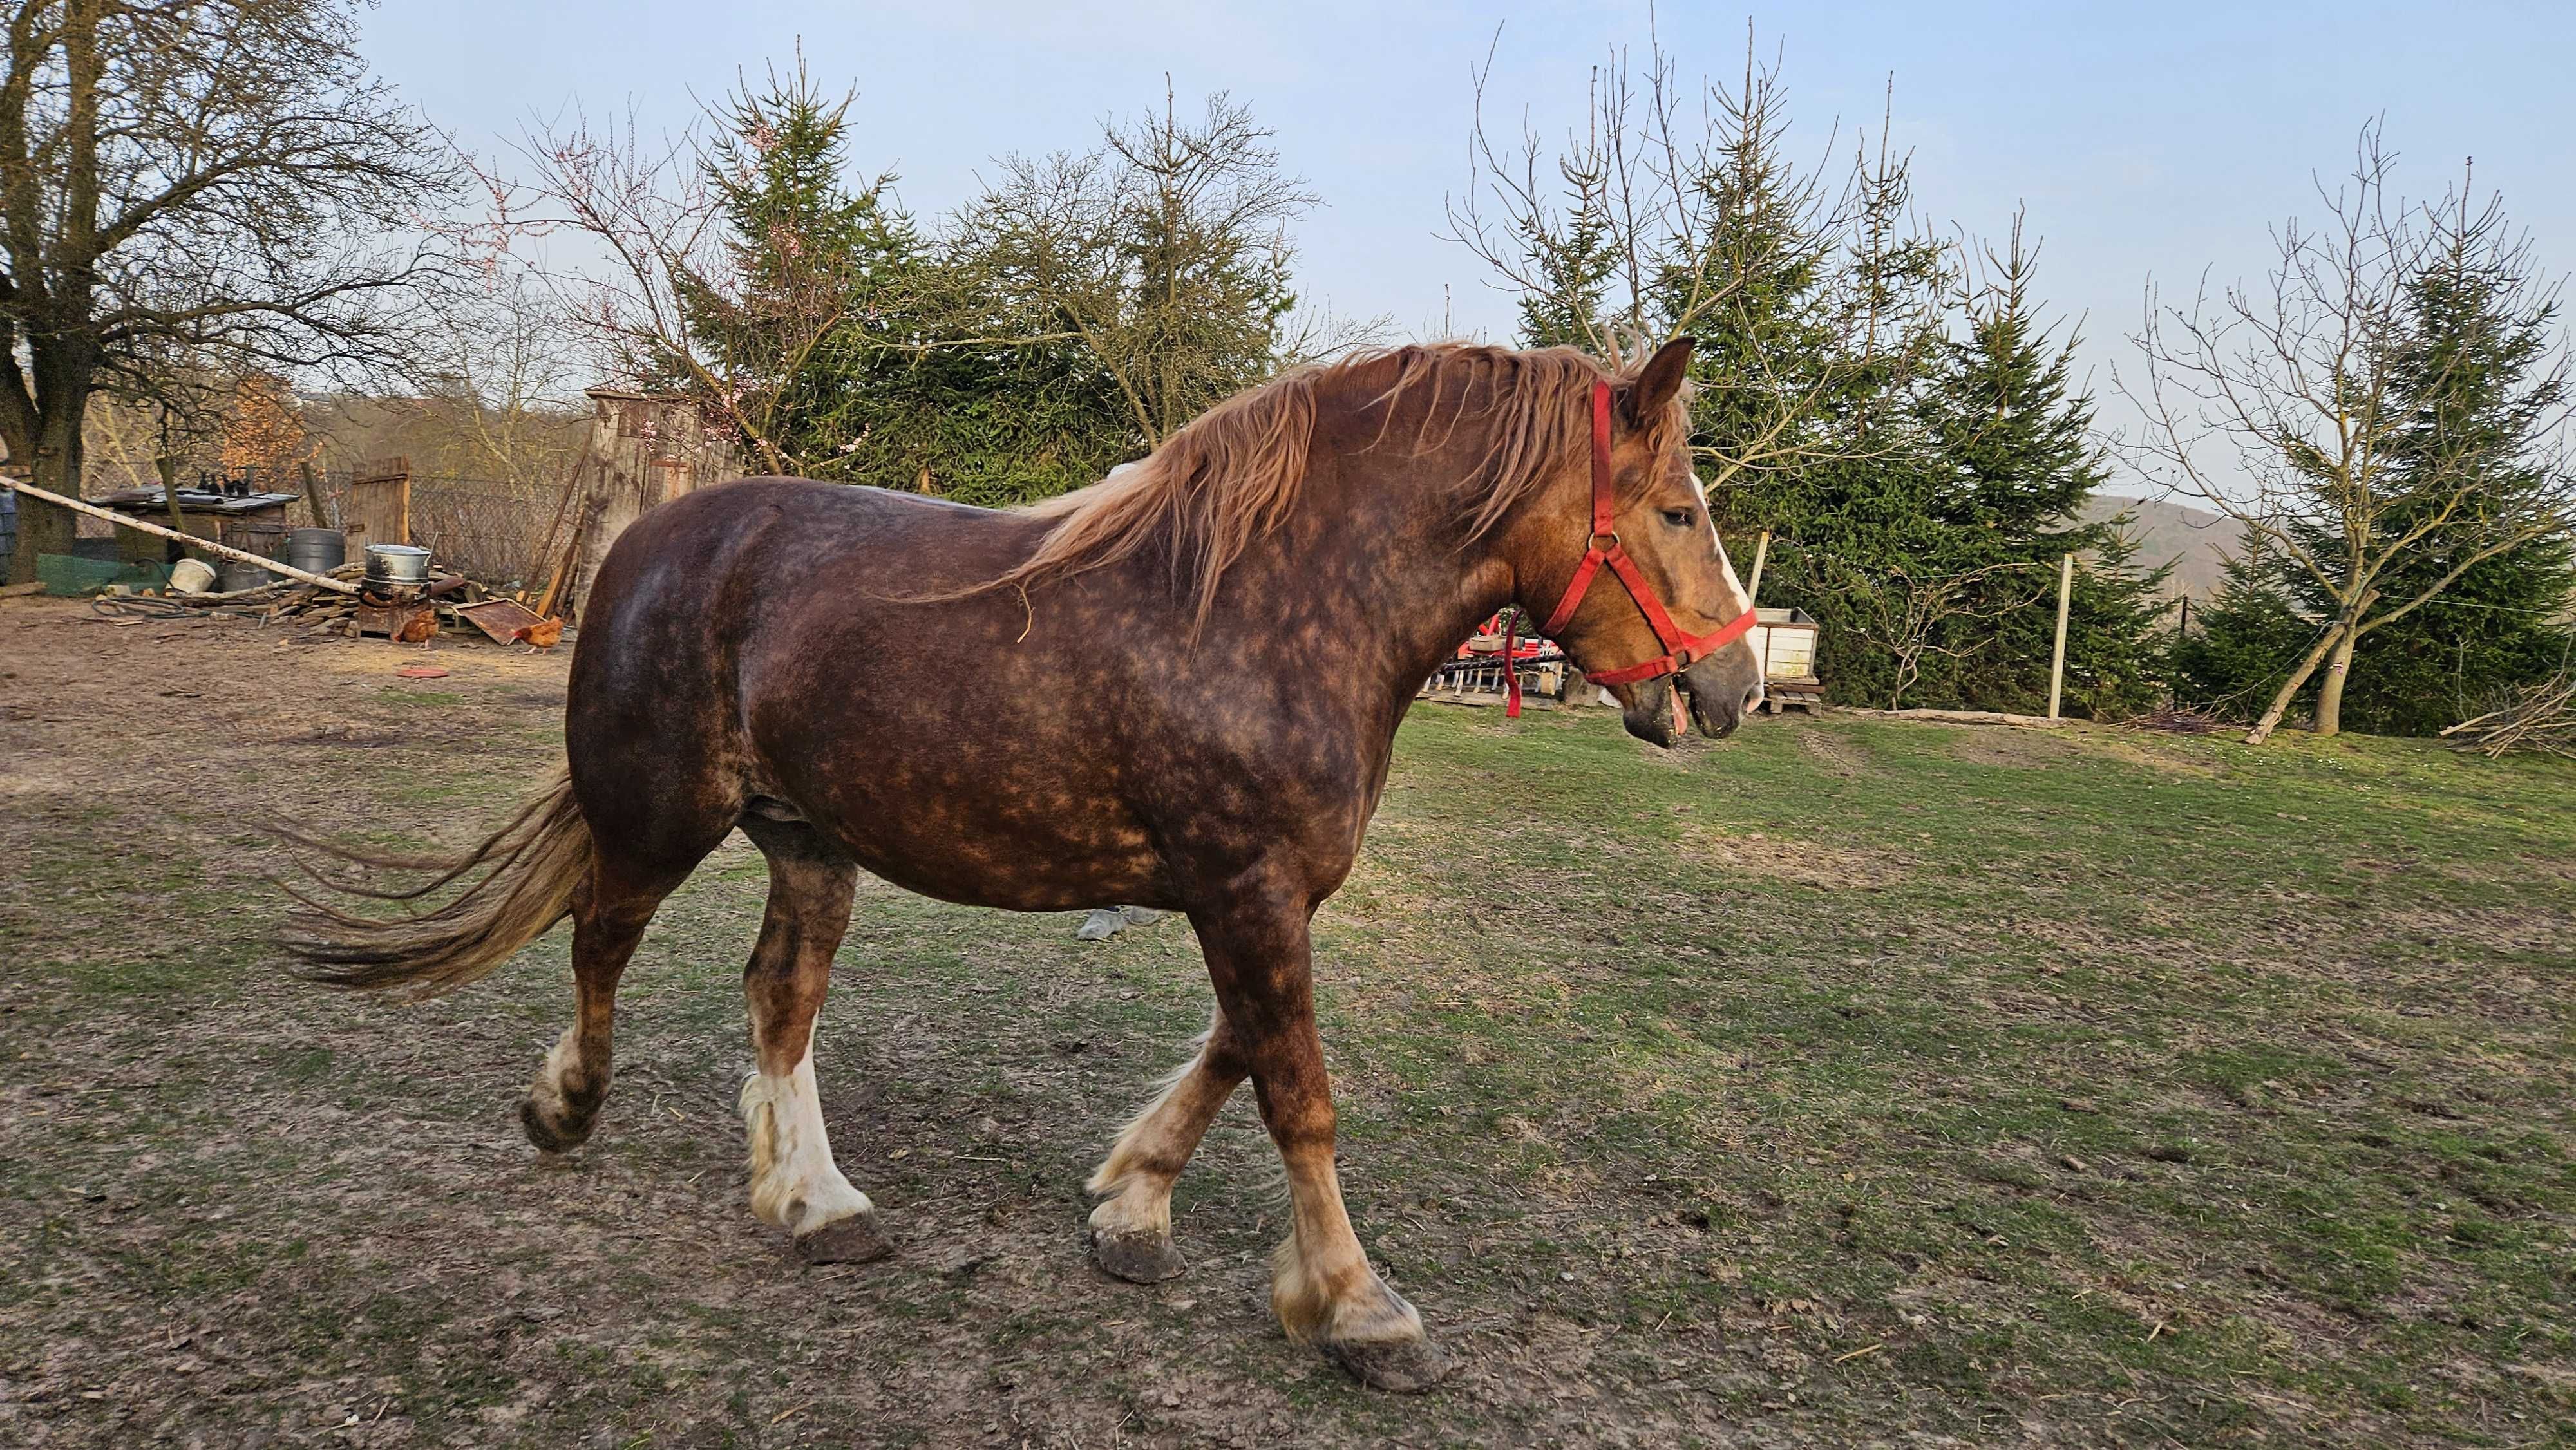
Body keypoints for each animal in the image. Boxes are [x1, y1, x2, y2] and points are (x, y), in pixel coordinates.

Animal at [287, 340, 1772, 1391]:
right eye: (1677, 510)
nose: (1731, 691)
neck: (1277, 604)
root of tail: (648, 542)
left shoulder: (1258, 891)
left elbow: (1234, 1052)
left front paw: (1132, 1210)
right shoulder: (1248, 888)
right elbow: (1297, 1094)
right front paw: (1359, 1309)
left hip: (809, 844)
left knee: (778, 999)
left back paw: (816, 1203)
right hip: (659, 816)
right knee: (603, 941)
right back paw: (568, 1105)